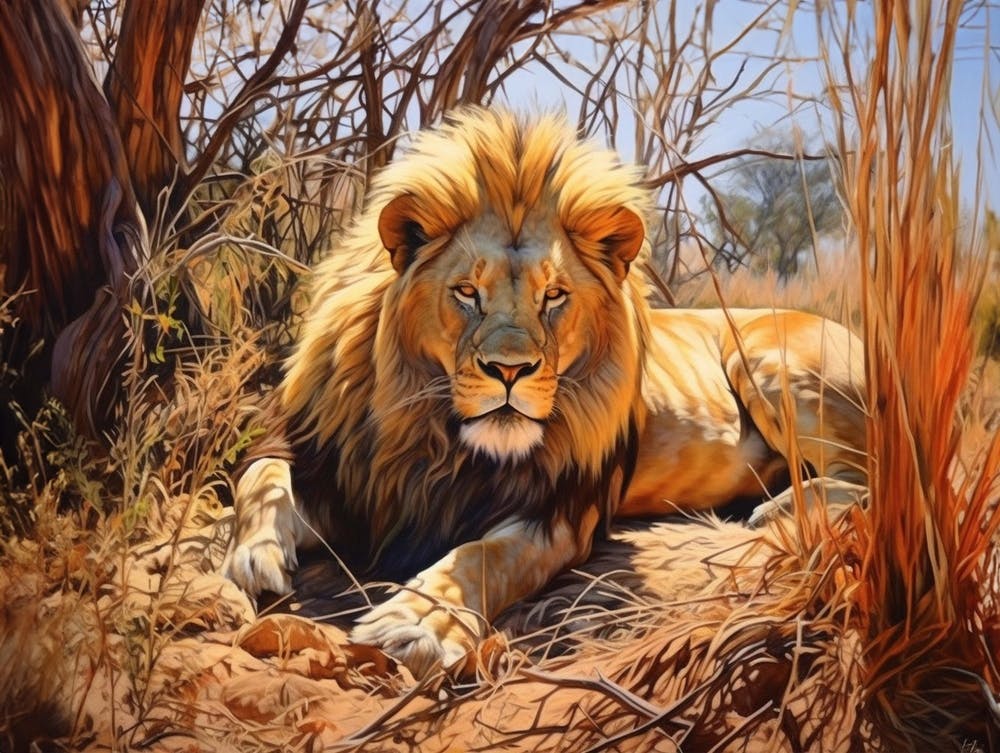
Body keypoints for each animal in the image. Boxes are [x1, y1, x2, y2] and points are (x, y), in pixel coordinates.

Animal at [223, 107, 867, 677]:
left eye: (553, 296)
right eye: (467, 292)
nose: (510, 370)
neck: (437, 443)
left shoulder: (559, 512)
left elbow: (482, 557)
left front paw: (418, 624)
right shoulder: (333, 466)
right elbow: (262, 479)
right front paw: (254, 557)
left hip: (769, 360)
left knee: (869, 472)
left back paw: (777, 510)